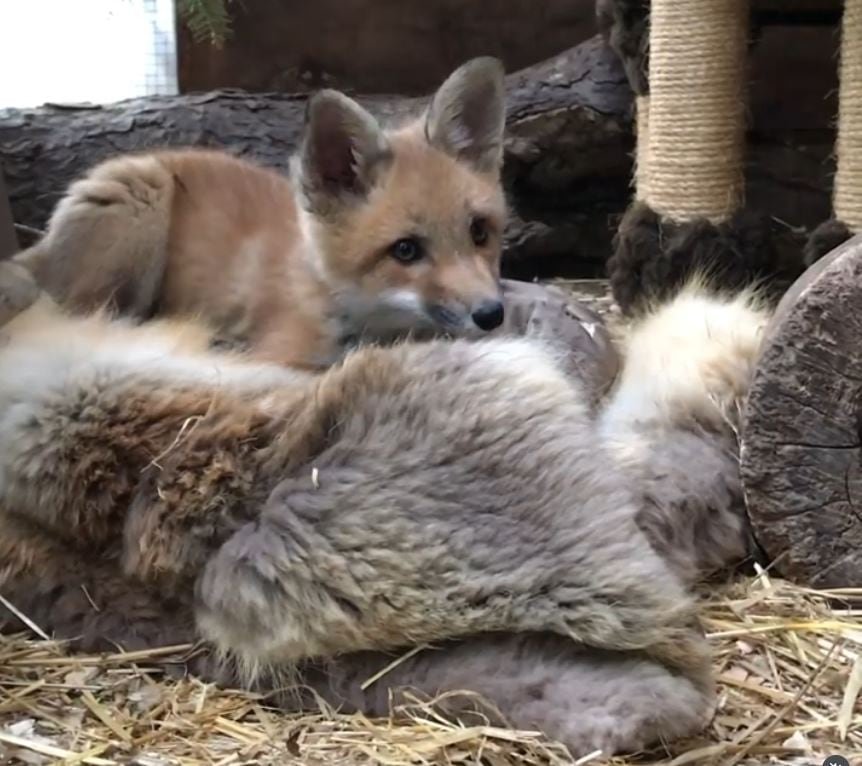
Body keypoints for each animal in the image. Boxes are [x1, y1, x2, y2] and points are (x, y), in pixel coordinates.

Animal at [14, 57, 508, 369]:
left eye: (479, 232)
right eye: (405, 250)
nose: (491, 315)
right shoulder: (282, 356)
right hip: (141, 207)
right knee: (85, 319)